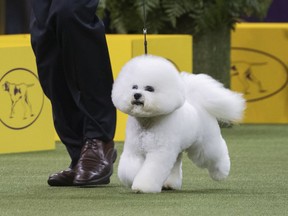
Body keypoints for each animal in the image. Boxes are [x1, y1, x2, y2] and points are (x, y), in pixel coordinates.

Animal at [111, 54, 246, 193]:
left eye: (149, 88)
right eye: (134, 87)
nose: (136, 95)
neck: (147, 122)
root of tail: (196, 103)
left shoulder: (159, 152)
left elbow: (151, 171)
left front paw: (142, 187)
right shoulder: (134, 150)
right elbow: (129, 169)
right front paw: (132, 179)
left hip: (204, 144)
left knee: (215, 154)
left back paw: (221, 172)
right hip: (177, 149)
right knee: (175, 164)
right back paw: (169, 184)